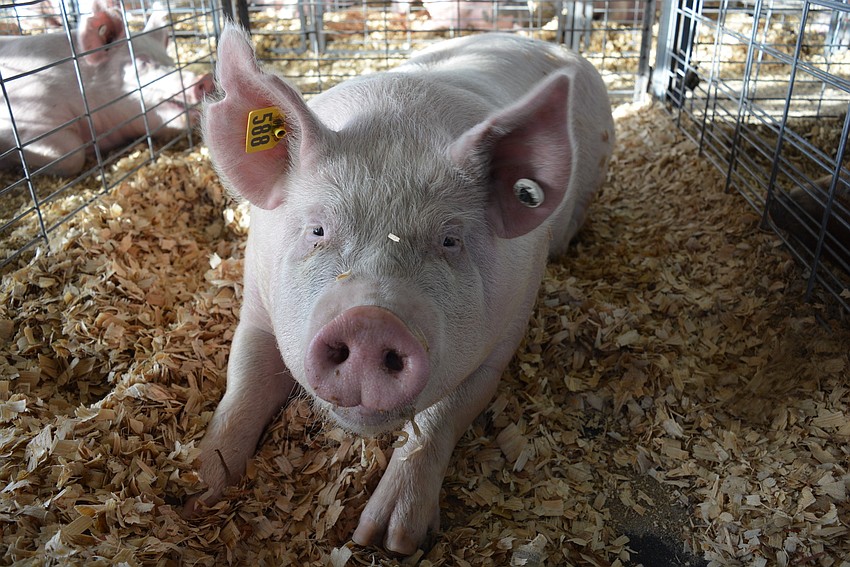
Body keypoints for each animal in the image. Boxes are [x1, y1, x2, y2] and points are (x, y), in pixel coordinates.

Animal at [186, 25, 614, 555]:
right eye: (317, 230)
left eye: (449, 240)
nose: (369, 322)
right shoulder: (257, 304)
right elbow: (243, 383)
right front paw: (195, 493)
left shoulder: (507, 328)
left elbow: (442, 415)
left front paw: (388, 539)